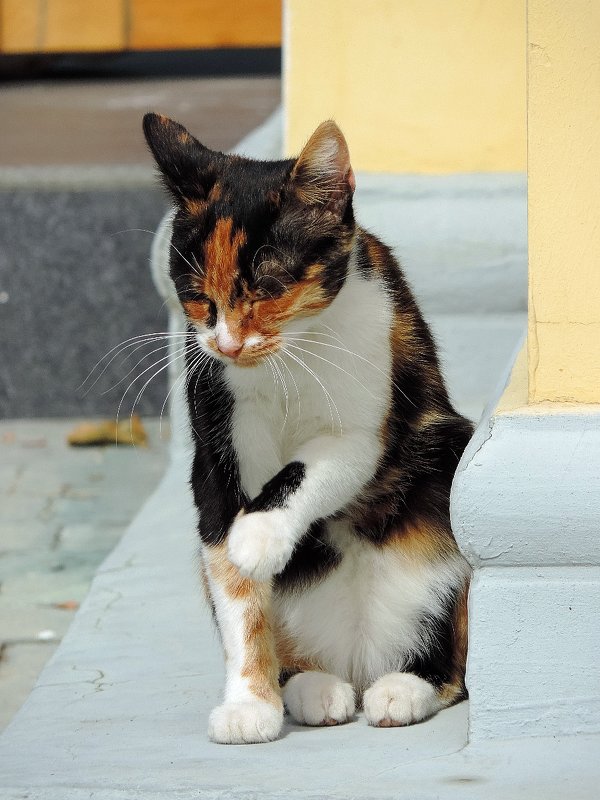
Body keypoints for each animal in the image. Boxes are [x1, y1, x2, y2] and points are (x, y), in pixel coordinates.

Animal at [143, 112, 472, 744]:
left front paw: (258, 535)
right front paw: (250, 704)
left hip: (446, 461)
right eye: (197, 298)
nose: (227, 344)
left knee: (451, 654)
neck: (288, 359)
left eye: (268, 287)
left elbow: (312, 466)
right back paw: (311, 688)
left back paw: (404, 687)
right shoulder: (217, 449)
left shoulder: (365, 422)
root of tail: (359, 662)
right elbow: (236, 587)